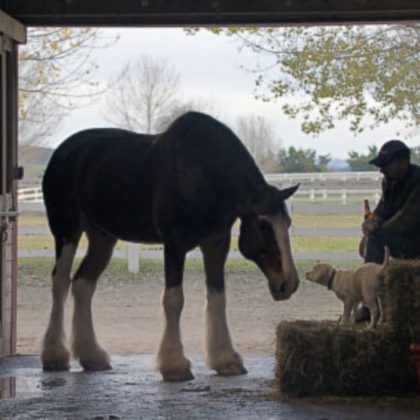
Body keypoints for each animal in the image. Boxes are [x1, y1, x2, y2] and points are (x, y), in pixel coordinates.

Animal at [41, 110, 300, 380]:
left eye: (288, 222)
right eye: (263, 225)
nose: (289, 283)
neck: (203, 173)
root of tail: (63, 152)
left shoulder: (216, 243)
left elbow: (218, 297)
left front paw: (226, 359)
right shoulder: (174, 244)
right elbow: (174, 299)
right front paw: (174, 364)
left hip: (102, 238)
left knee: (83, 284)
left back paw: (92, 356)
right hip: (66, 231)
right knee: (60, 282)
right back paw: (55, 355)